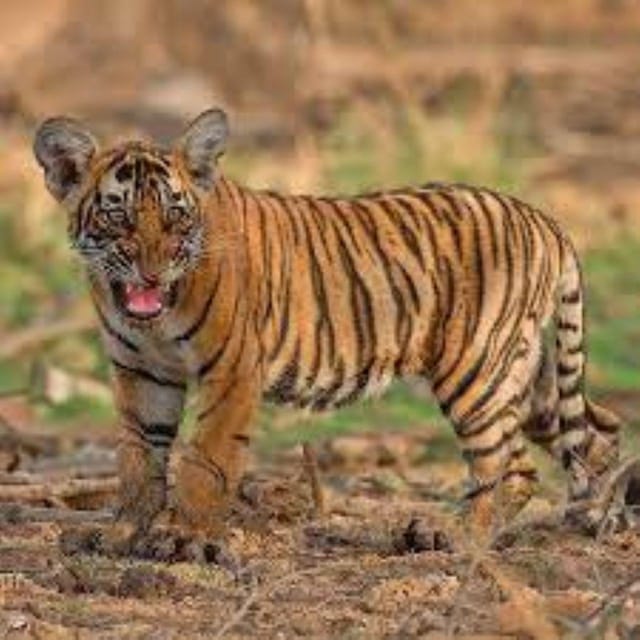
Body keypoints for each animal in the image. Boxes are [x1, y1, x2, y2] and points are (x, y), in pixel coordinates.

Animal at [33, 107, 623, 547]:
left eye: (175, 214)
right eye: (119, 215)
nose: (153, 270)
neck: (152, 316)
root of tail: (543, 217)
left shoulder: (231, 371)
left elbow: (206, 458)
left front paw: (184, 537)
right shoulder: (142, 372)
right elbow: (138, 455)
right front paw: (125, 532)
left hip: (477, 368)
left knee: (504, 461)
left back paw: (459, 537)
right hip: (528, 377)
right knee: (595, 437)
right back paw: (598, 523)